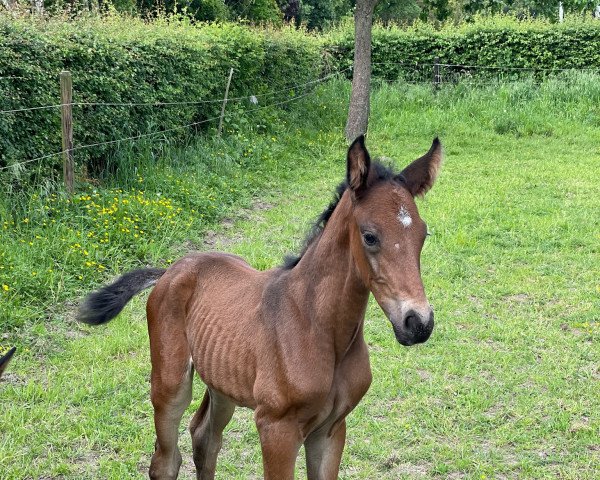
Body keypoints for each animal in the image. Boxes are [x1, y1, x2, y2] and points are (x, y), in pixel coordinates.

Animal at [78, 136, 440, 480]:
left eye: (424, 235)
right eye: (369, 236)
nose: (418, 323)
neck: (318, 326)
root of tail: (170, 269)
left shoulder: (331, 430)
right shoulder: (276, 428)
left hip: (222, 381)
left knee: (204, 438)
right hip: (170, 383)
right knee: (166, 461)